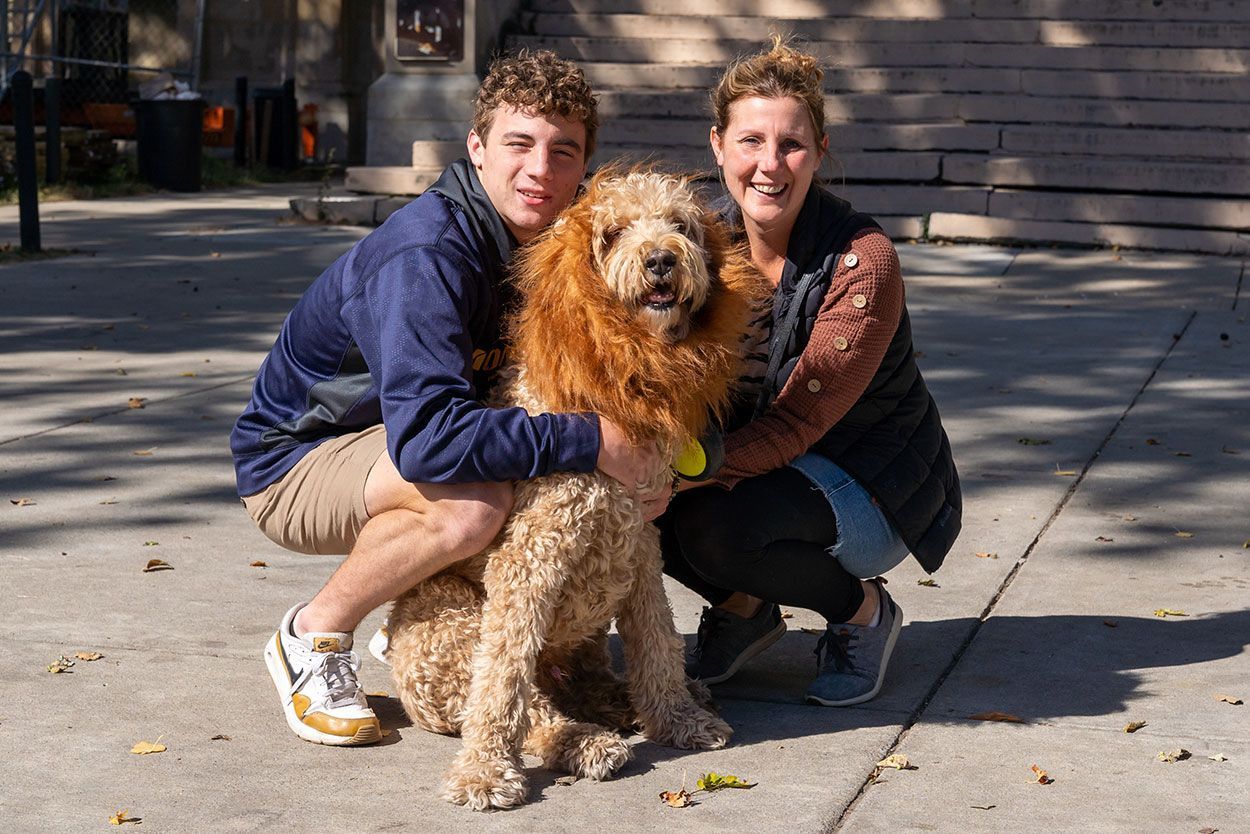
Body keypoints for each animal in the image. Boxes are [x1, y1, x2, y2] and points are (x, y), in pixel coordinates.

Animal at [385, 166, 755, 810]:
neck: (609, 386)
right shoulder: (530, 556)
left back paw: (633, 704)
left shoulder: (640, 544)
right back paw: (583, 743)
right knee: (529, 707)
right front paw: (483, 772)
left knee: (585, 683)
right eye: (614, 232)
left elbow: (657, 640)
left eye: (680, 224)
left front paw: (678, 718)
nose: (661, 260)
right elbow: (503, 680)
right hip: (451, 629)